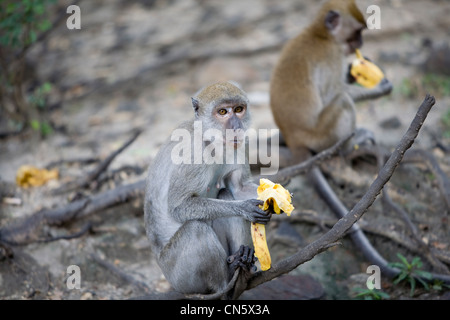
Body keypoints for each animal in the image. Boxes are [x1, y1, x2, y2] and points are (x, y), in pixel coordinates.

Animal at [144, 80, 270, 298]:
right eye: (222, 112)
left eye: (238, 109)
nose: (236, 127)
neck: (211, 140)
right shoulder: (192, 154)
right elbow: (179, 207)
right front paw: (245, 208)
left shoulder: (240, 144)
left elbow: (239, 188)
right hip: (180, 277)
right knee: (197, 229)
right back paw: (225, 286)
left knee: (226, 195)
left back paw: (241, 263)